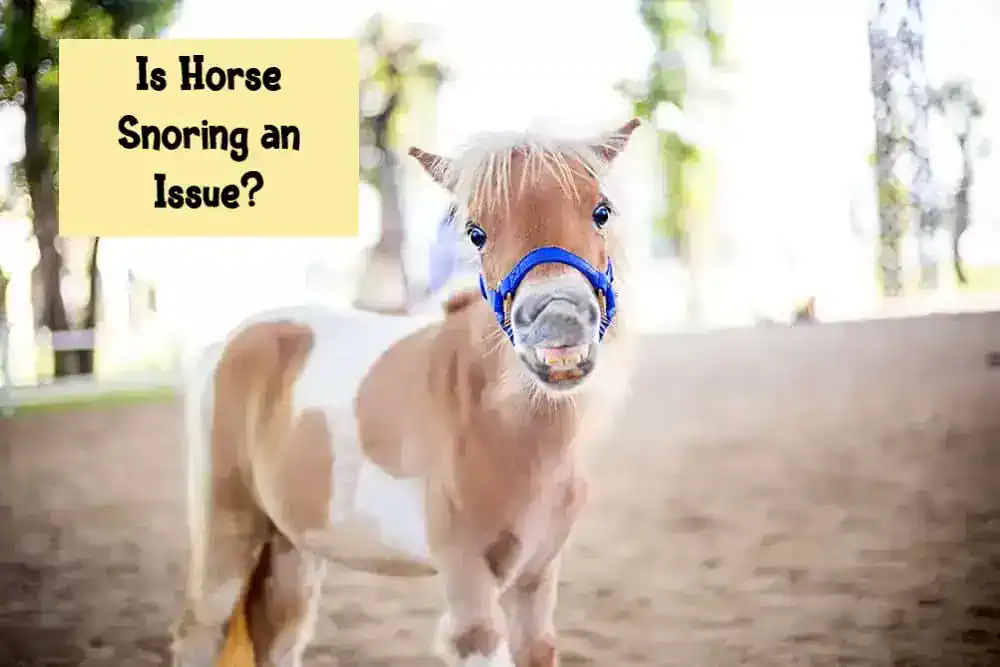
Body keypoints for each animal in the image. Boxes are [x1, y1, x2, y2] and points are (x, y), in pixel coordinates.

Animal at [172, 117, 642, 667]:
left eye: (601, 211)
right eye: (476, 232)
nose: (558, 321)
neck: (503, 430)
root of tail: (229, 341)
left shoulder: (536, 579)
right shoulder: (470, 597)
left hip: (293, 550)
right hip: (228, 538)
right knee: (198, 630)